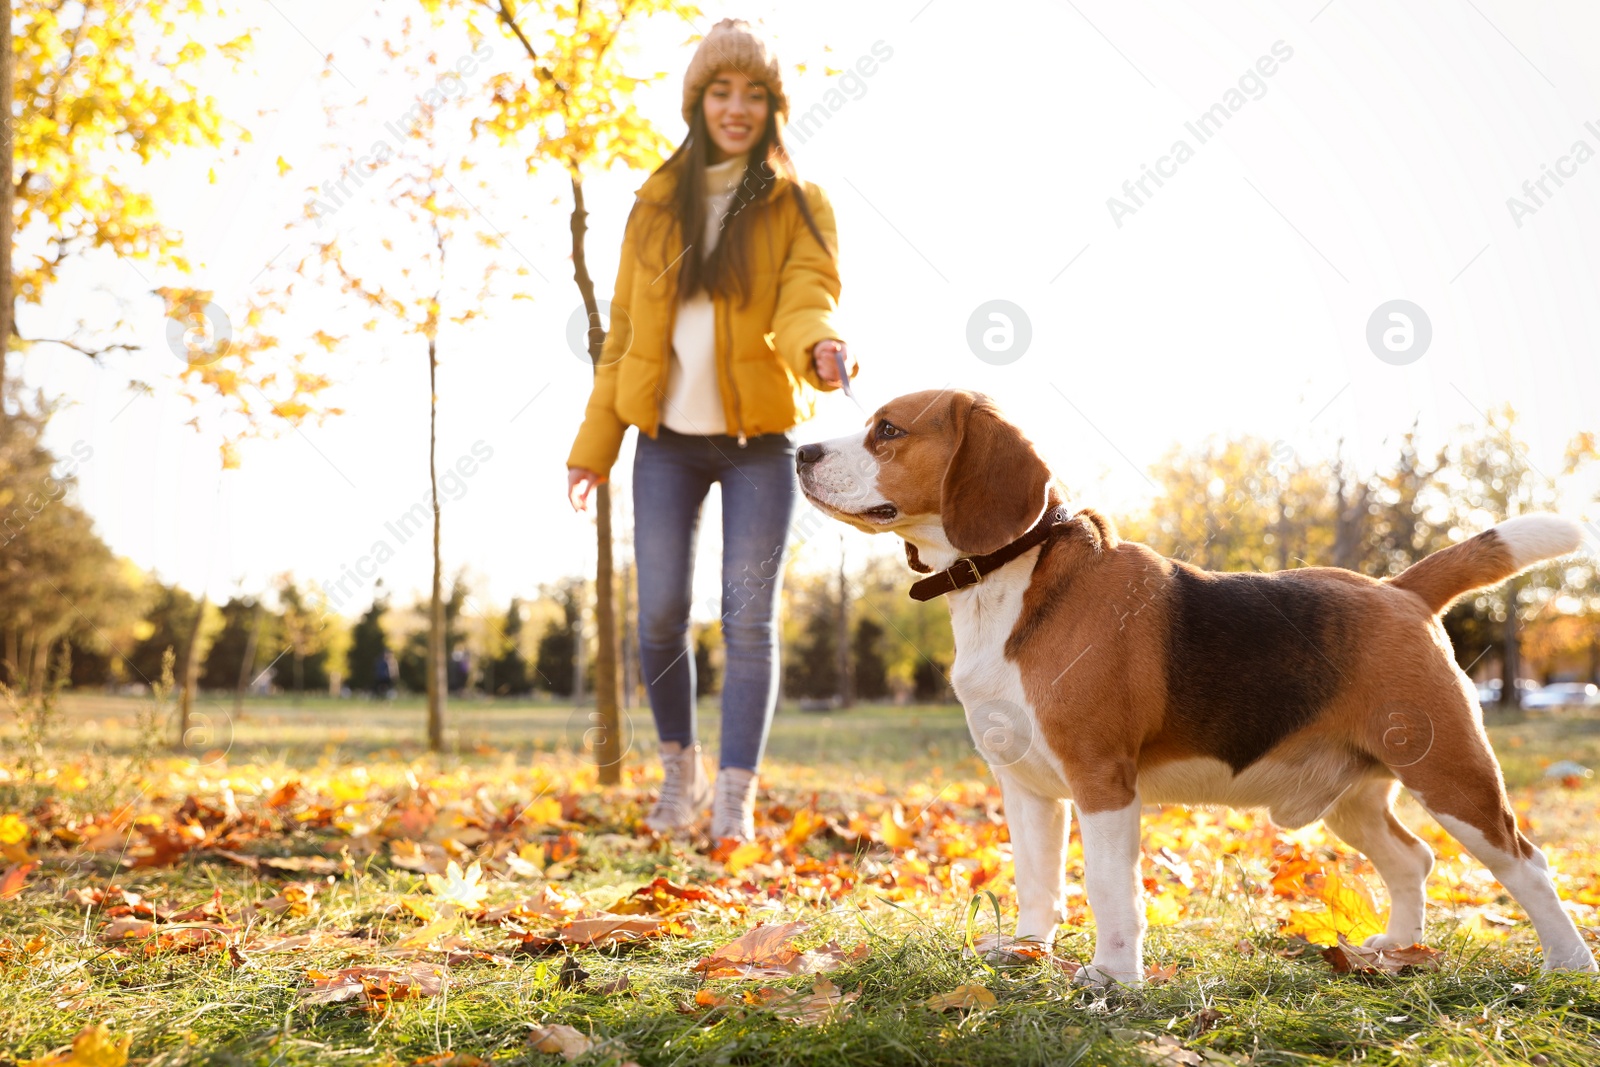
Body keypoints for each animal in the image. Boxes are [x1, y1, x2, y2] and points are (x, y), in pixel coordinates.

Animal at [800, 390, 1600, 985]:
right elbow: (1038, 880)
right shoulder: (1024, 782)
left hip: (1451, 772)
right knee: (1413, 859)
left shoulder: (1101, 779)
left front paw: (1112, 977)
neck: (1008, 577)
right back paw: (1399, 947)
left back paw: (1567, 964)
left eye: (888, 430)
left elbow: (1109, 888)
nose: (801, 452)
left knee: (1527, 861)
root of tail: (1397, 589)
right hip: (1354, 795)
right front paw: (1028, 949)